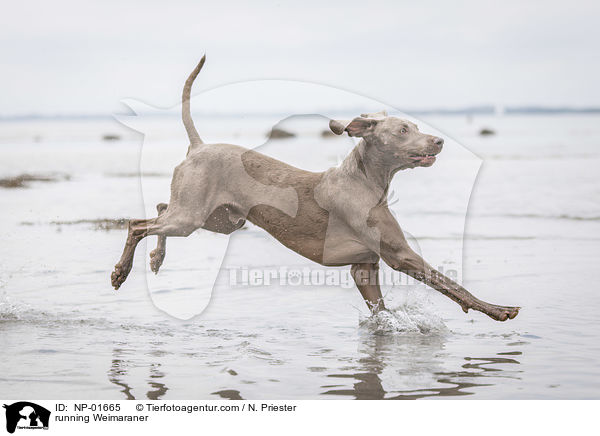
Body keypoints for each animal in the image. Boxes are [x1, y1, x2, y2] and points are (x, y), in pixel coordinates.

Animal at [112, 56, 520, 322]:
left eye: (415, 127)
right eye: (404, 130)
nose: (438, 141)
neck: (364, 180)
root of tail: (198, 146)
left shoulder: (365, 266)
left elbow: (381, 309)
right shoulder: (399, 255)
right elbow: (452, 284)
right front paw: (498, 310)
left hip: (221, 219)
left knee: (161, 207)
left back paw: (156, 258)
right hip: (195, 216)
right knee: (137, 224)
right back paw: (121, 271)